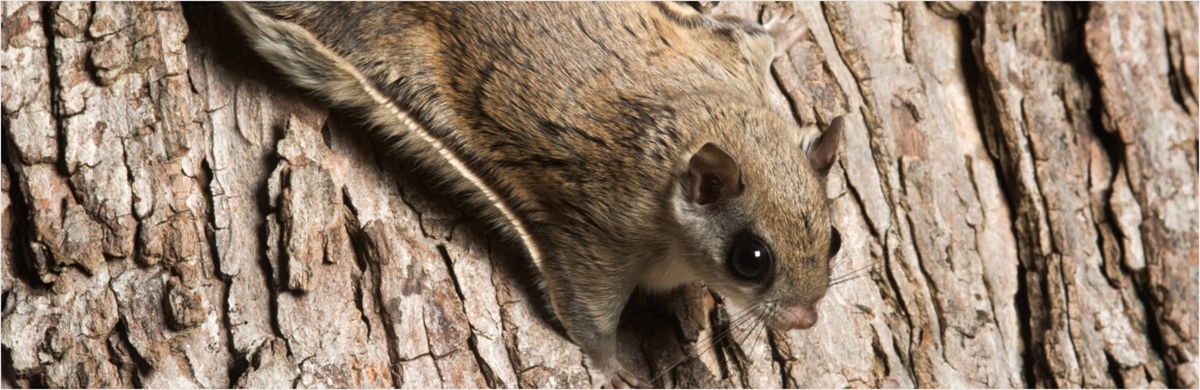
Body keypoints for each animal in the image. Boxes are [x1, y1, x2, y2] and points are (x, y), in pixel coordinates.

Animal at [225, 2, 844, 386]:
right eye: (751, 259)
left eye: (835, 238)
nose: (805, 319)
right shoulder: (600, 230)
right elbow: (585, 308)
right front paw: (613, 367)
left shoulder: (723, 54)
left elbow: (749, 36)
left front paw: (785, 31)